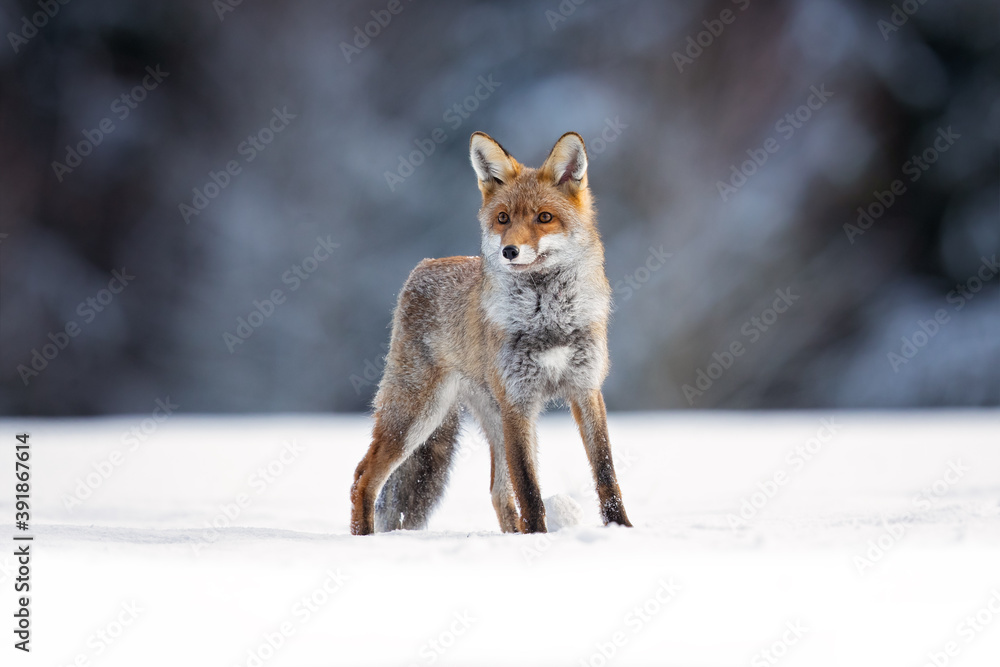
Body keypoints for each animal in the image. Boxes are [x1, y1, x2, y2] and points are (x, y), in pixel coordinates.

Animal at [350, 131, 632, 535]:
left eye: (544, 218)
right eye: (503, 218)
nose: (509, 251)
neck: (547, 320)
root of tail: (423, 267)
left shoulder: (585, 389)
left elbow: (606, 473)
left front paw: (621, 531)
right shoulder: (518, 401)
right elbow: (528, 488)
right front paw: (538, 538)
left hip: (489, 420)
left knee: (497, 493)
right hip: (419, 415)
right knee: (363, 478)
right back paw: (363, 540)